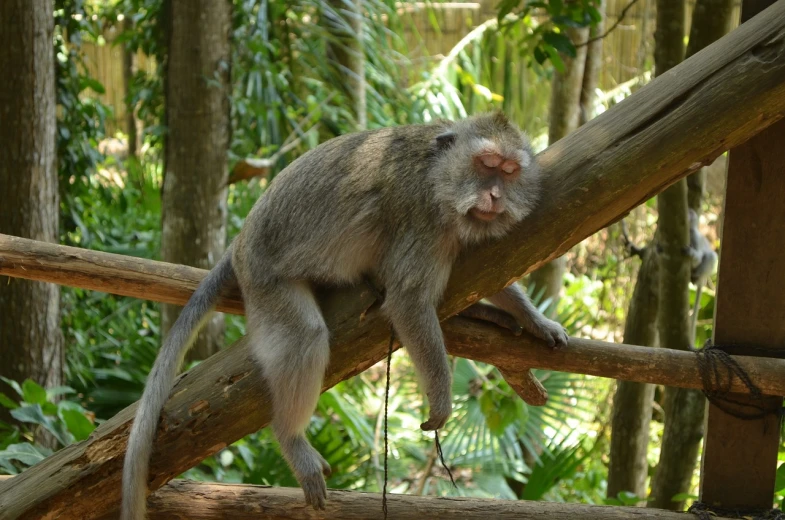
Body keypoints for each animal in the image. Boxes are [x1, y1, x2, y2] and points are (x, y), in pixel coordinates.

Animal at [121, 111, 564, 516]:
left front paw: (534, 319)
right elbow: (409, 301)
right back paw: (290, 437)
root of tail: (240, 243)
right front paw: (440, 396)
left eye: (509, 171)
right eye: (486, 164)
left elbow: (493, 272)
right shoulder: (422, 219)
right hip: (265, 280)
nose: (495, 196)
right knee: (305, 335)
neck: (438, 175)